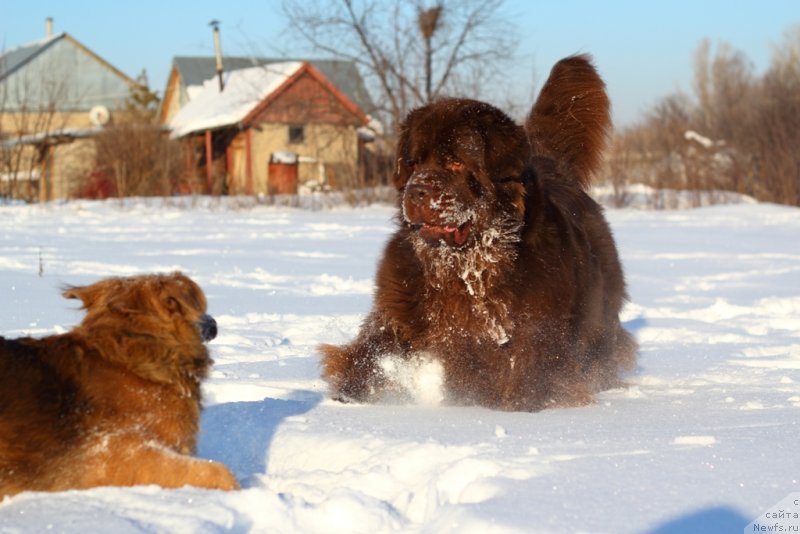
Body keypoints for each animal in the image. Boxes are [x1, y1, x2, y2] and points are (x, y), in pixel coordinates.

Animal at [320, 55, 636, 414]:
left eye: (456, 163)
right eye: (413, 163)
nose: (416, 192)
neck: (466, 268)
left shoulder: (535, 331)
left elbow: (527, 375)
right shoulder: (399, 308)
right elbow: (370, 352)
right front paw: (348, 396)